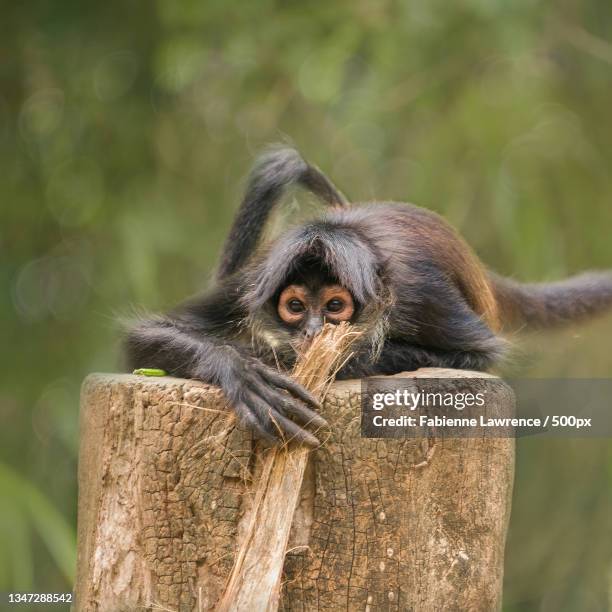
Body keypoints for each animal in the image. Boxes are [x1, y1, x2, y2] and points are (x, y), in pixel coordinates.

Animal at [123, 147, 612, 444]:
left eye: (335, 307)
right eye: (295, 307)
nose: (313, 331)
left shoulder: (419, 292)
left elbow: (481, 353)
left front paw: (340, 360)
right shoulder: (253, 280)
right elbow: (141, 335)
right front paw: (244, 373)